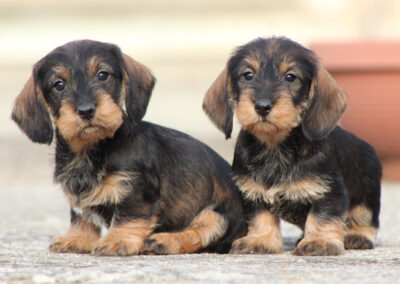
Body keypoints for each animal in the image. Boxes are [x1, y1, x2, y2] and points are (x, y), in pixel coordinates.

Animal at [12, 39, 247, 255]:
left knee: (200, 234)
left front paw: (118, 240)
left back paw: (164, 241)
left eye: (103, 75)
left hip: (218, 214)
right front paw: (77, 238)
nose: (86, 110)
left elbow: (128, 216)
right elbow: (82, 217)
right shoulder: (78, 196)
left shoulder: (136, 189)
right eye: (59, 85)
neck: (92, 149)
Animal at [203, 36, 382, 256]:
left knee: (366, 219)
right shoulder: (253, 192)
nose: (262, 106)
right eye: (248, 75)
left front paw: (319, 241)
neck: (275, 146)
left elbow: (323, 217)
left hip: (367, 196)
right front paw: (260, 240)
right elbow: (261, 218)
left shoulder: (329, 191)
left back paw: (356, 236)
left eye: (290, 77)